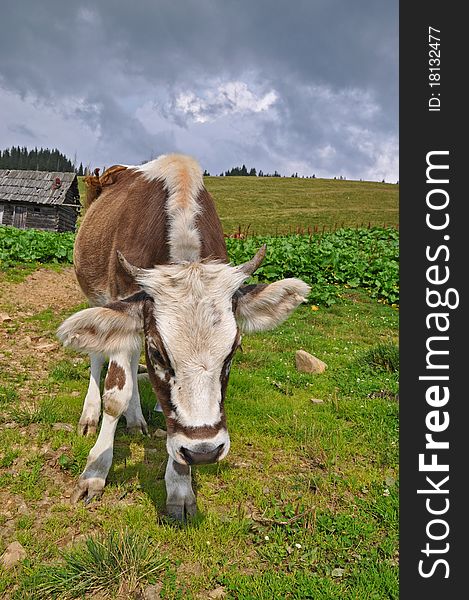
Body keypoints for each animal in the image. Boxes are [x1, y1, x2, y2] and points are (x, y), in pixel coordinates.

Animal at [56, 154, 308, 520]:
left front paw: (180, 487)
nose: (203, 451)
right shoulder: (125, 303)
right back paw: (91, 414)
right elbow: (115, 393)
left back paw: (137, 420)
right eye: (159, 354)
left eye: (233, 352)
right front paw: (95, 472)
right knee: (97, 356)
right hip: (95, 297)